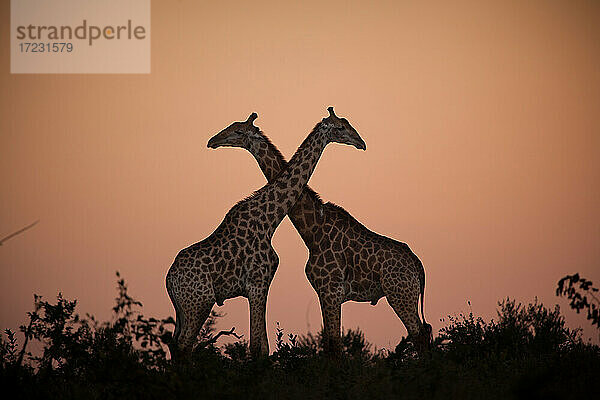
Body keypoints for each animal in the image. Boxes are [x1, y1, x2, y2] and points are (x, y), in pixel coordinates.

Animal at [165, 107, 366, 360]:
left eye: (237, 129)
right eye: (341, 127)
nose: (361, 143)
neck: (269, 220)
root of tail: (169, 280)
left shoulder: (263, 282)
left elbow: (263, 347)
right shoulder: (256, 282)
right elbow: (256, 348)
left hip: (183, 310)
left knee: (176, 347)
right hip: (198, 303)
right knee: (183, 347)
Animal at [209, 106, 434, 354]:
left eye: (238, 131)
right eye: (232, 127)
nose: (212, 140)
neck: (313, 230)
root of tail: (419, 267)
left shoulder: (331, 290)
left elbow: (335, 346)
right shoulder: (323, 292)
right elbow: (329, 344)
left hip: (400, 294)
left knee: (419, 334)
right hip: (406, 295)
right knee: (424, 332)